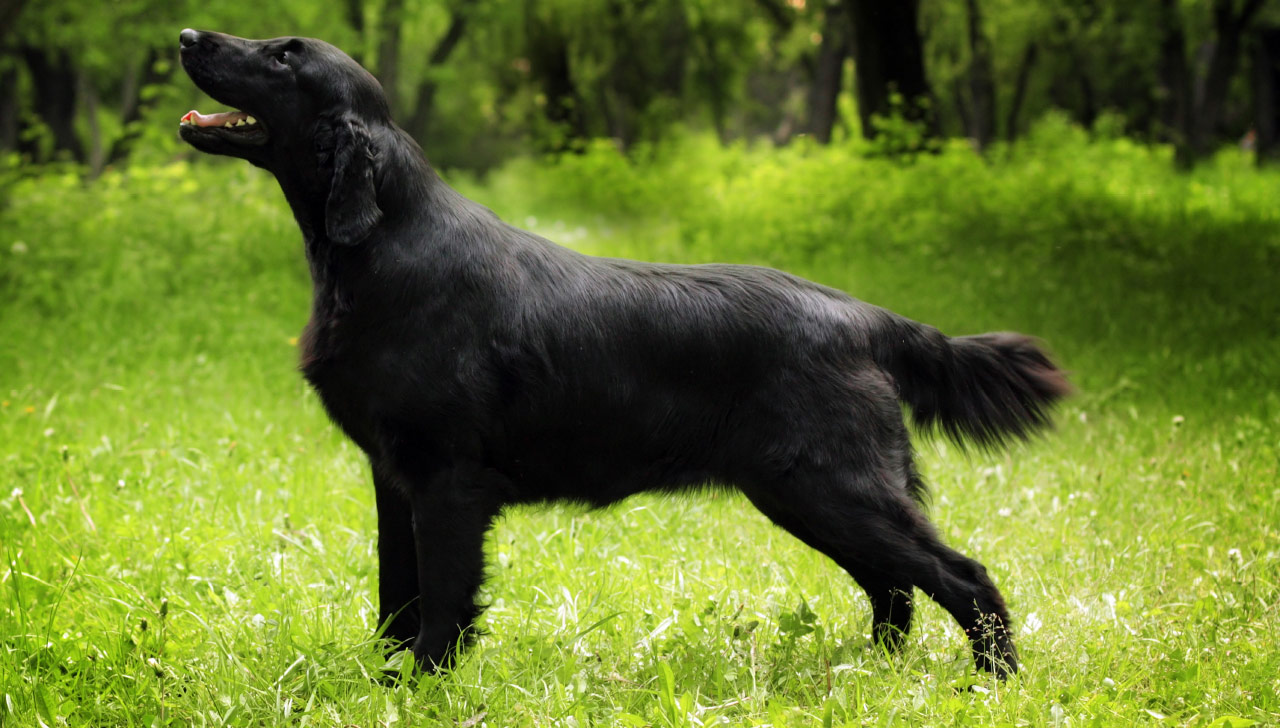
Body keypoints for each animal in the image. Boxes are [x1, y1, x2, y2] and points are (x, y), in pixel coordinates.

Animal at [175, 28, 1064, 675]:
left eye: (284, 56)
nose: (187, 34)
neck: (384, 249)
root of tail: (865, 315)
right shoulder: (394, 477)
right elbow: (398, 597)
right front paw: (384, 682)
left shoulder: (447, 479)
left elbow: (443, 600)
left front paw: (423, 684)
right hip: (806, 492)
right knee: (895, 589)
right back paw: (868, 671)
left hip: (830, 485)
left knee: (961, 577)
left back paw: (993, 680)